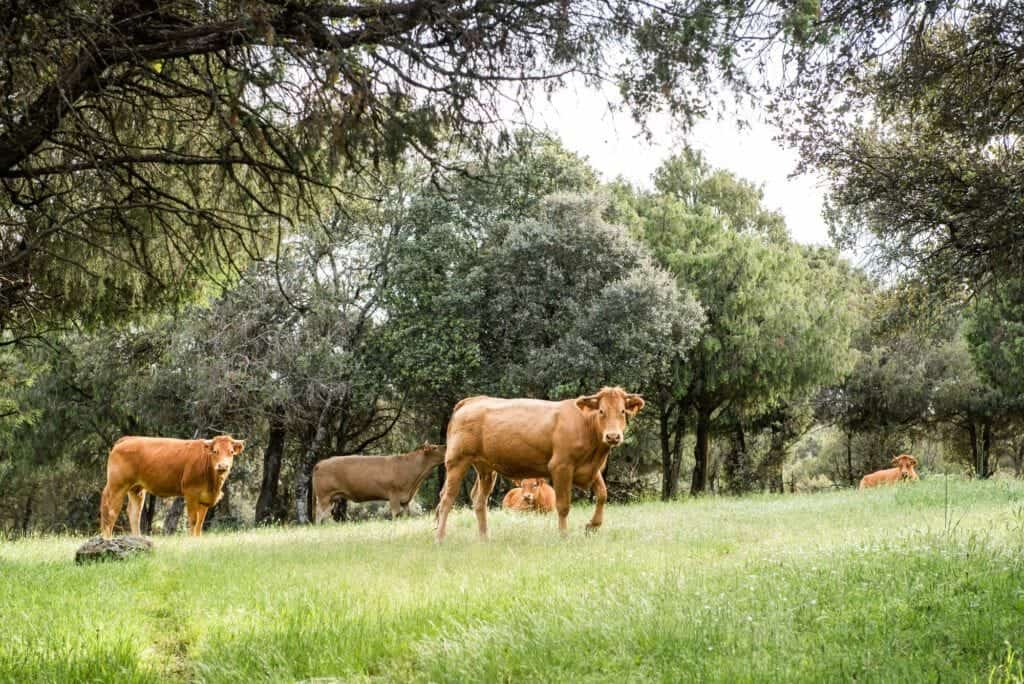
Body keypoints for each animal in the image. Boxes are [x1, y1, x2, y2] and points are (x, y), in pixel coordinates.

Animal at [100, 435, 245, 538]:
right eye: (215, 451)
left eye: (231, 452)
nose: (223, 466)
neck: (213, 485)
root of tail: (128, 439)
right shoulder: (191, 493)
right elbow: (193, 520)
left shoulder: (205, 499)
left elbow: (200, 523)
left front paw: (198, 539)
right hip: (117, 486)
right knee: (111, 511)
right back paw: (108, 540)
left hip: (137, 489)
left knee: (134, 513)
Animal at [312, 442, 445, 524]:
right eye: (434, 447)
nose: (446, 446)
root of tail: (321, 463)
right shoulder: (394, 495)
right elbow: (396, 513)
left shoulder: (405, 499)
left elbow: (406, 514)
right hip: (323, 496)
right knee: (319, 513)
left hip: (331, 498)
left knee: (326, 514)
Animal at [436, 386, 644, 541]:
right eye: (601, 411)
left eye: (622, 411)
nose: (613, 436)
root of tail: (472, 400)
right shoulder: (561, 467)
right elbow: (563, 505)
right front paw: (563, 536)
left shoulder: (591, 469)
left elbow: (602, 494)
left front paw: (592, 526)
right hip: (457, 461)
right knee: (446, 498)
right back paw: (440, 537)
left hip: (486, 468)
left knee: (479, 500)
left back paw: (484, 538)